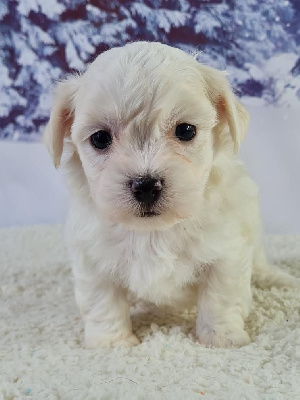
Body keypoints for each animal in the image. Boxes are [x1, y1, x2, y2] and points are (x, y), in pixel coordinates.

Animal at [44, 40, 298, 346]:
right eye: (100, 138)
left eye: (186, 130)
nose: (145, 185)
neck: (154, 232)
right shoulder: (92, 257)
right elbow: (102, 301)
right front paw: (112, 343)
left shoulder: (228, 251)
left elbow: (221, 297)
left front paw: (222, 338)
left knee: (260, 265)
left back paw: (280, 280)